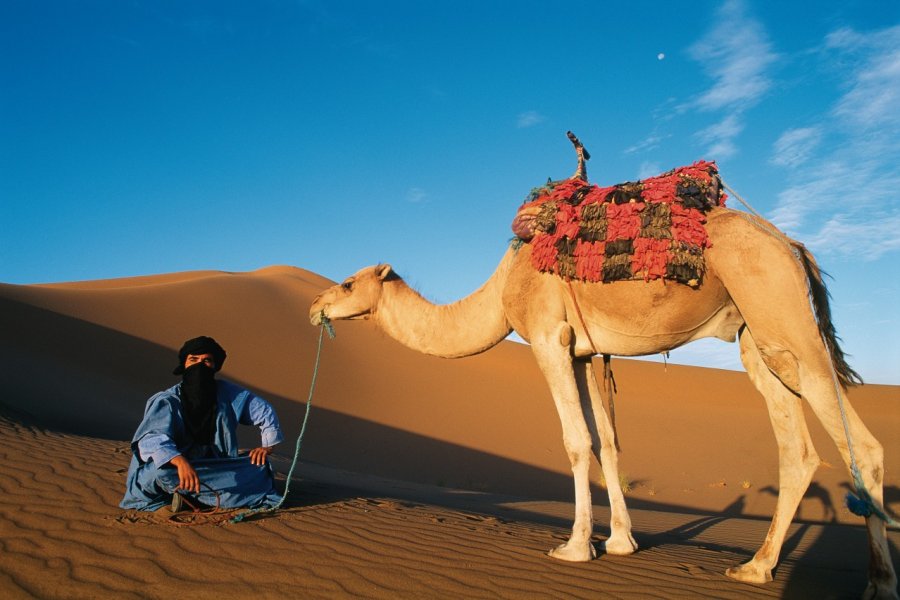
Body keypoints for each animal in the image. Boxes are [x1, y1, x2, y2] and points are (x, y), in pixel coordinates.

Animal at [308, 137, 892, 600]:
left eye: (346, 283)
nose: (314, 307)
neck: (500, 292)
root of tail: (790, 244)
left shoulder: (549, 339)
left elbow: (575, 440)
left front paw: (573, 547)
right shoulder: (587, 352)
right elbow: (608, 441)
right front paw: (622, 541)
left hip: (782, 314)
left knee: (860, 445)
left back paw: (880, 582)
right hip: (756, 337)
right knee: (797, 449)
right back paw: (755, 567)